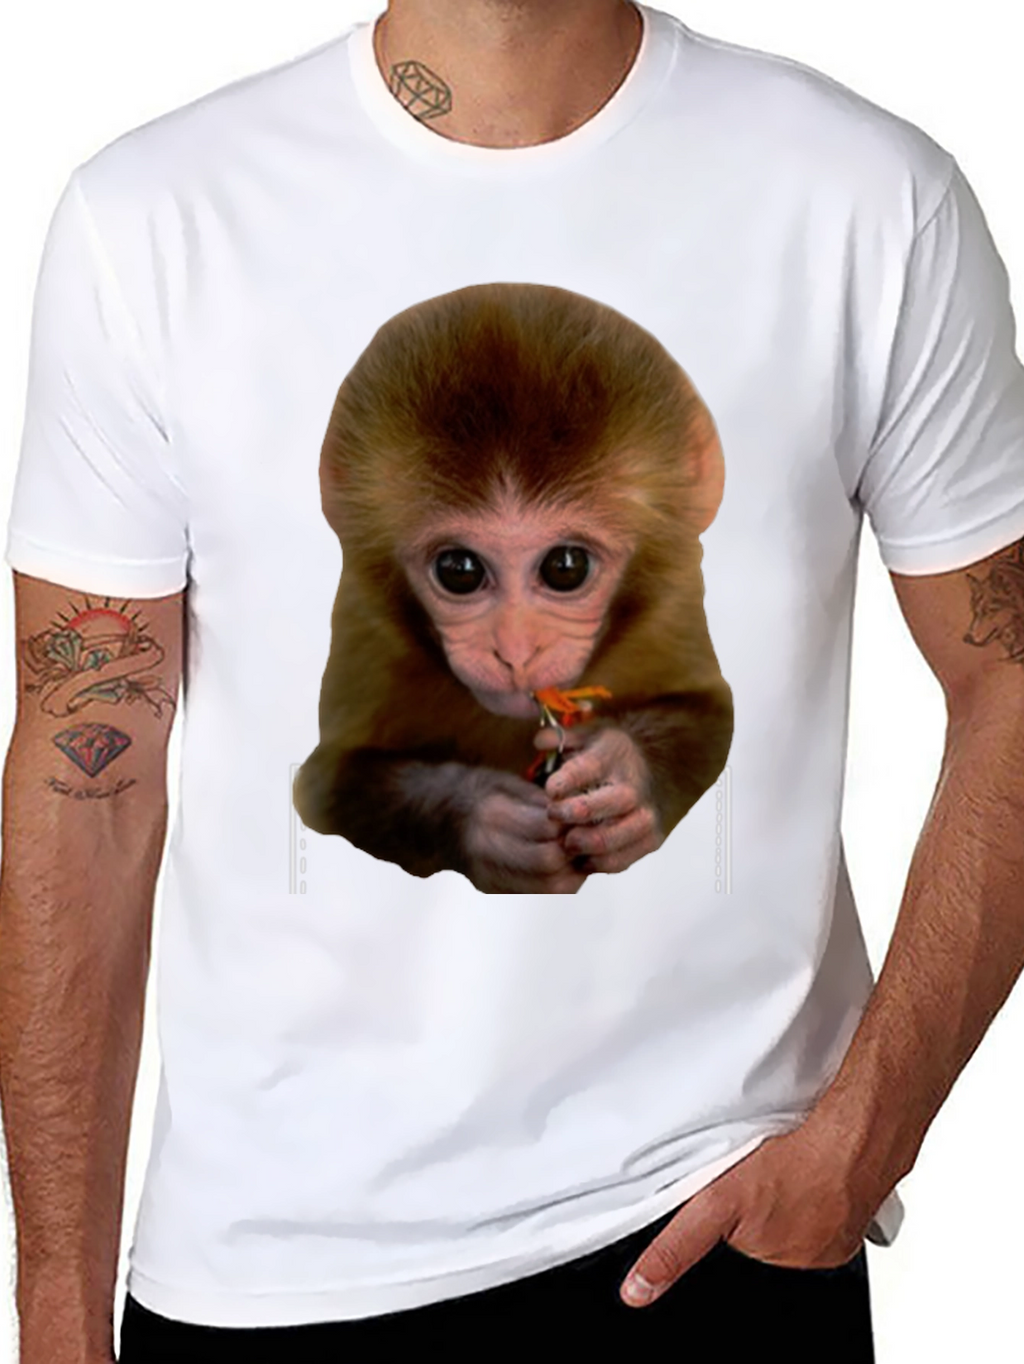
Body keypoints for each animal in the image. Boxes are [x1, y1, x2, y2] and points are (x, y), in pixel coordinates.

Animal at [293, 282, 733, 894]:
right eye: (459, 570)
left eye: (566, 566)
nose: (516, 652)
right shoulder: (365, 627)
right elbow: (326, 784)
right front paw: (488, 820)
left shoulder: (674, 603)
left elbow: (713, 713)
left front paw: (623, 771)